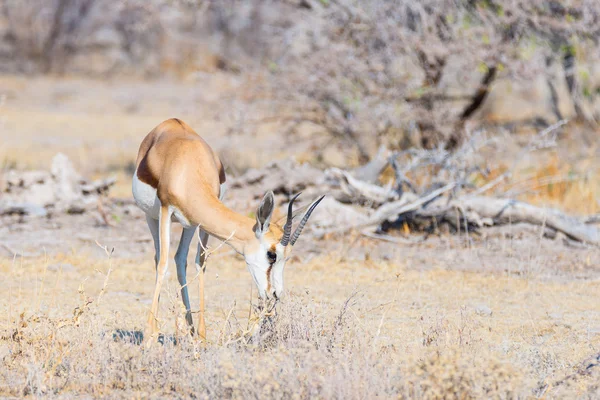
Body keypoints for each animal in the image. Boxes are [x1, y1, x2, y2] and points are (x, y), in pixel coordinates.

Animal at [132, 118, 324, 340]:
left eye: (288, 257)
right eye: (272, 254)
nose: (275, 293)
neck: (187, 167)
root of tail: (171, 122)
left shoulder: (201, 222)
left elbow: (201, 263)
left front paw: (202, 337)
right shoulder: (165, 210)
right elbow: (163, 264)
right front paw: (149, 336)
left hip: (189, 224)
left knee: (180, 259)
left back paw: (188, 329)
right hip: (151, 217)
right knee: (158, 259)